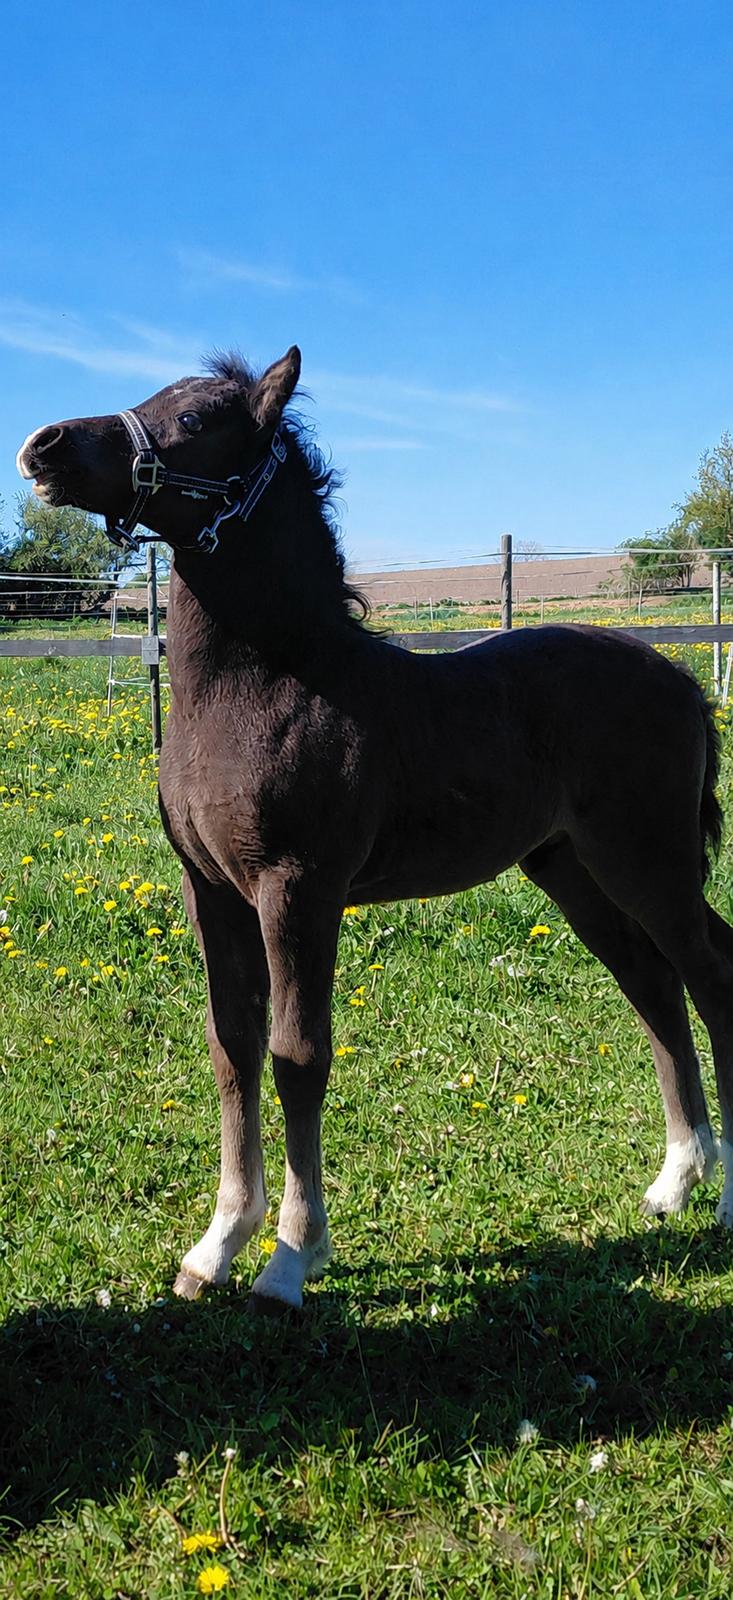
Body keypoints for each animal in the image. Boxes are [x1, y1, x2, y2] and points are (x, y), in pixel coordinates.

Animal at [16, 345, 733, 1313]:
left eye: (196, 419)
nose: (44, 446)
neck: (266, 685)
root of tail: (680, 680)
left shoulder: (298, 890)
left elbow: (296, 1055)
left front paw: (290, 1259)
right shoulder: (210, 891)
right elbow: (231, 1046)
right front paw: (215, 1246)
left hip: (647, 863)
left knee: (708, 977)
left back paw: (720, 1195)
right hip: (570, 870)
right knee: (651, 985)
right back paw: (674, 1180)